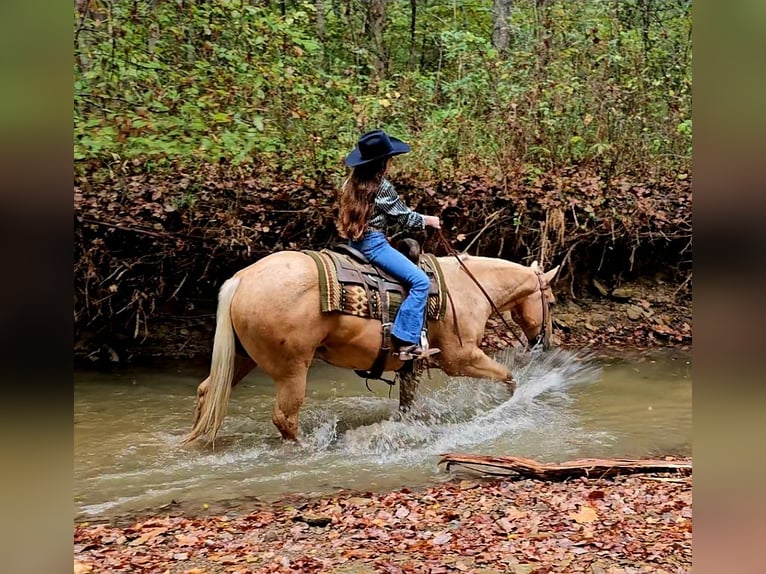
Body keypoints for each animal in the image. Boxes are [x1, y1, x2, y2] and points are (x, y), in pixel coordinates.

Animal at [182, 249, 559, 445]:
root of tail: (242, 279)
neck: (466, 289)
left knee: (206, 392)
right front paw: (511, 404)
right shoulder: (461, 358)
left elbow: (407, 407)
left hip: (242, 358)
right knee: (284, 417)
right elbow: (508, 377)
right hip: (291, 369)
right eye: (552, 302)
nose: (544, 341)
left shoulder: (412, 367)